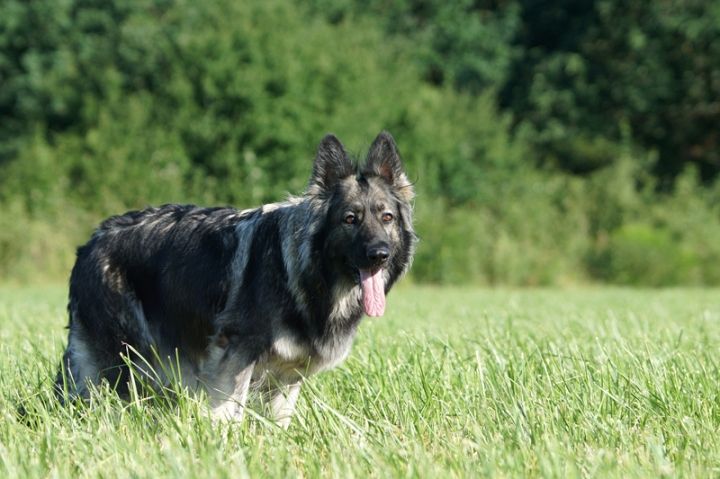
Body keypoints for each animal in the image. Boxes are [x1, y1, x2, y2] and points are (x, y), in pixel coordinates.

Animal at [54, 131, 416, 427]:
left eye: (387, 218)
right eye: (350, 219)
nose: (379, 254)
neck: (307, 276)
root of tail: (91, 241)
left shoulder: (287, 375)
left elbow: (279, 421)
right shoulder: (235, 356)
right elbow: (228, 412)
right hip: (117, 359)